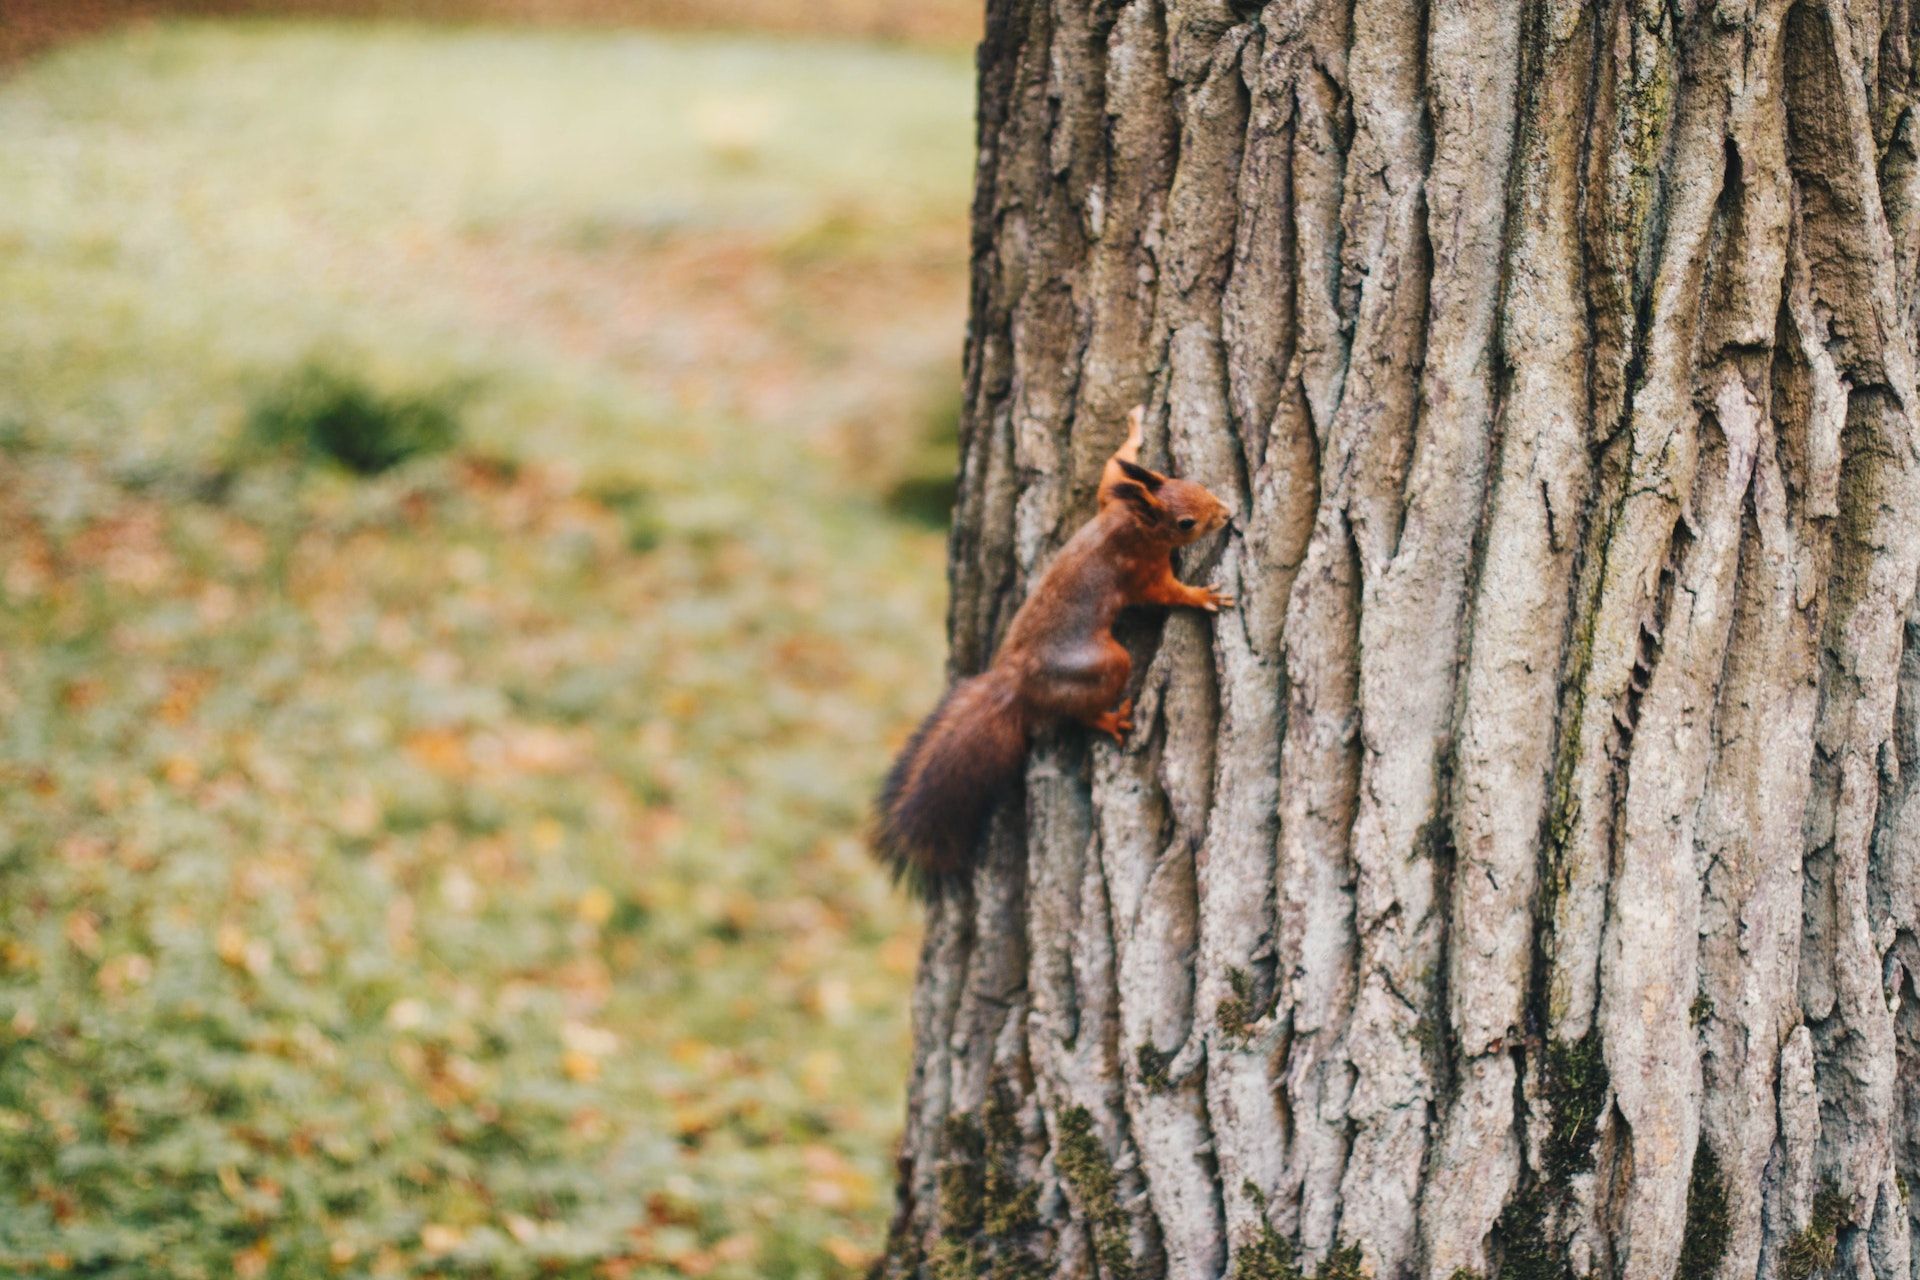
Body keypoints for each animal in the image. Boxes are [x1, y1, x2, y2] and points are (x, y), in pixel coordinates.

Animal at [879, 408, 1236, 890]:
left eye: (1194, 482)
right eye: (1186, 523)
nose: (1228, 513)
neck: (1131, 523)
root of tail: (1015, 683)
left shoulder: (1108, 500)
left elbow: (1110, 468)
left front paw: (1134, 428)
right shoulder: (1141, 572)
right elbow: (1168, 593)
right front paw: (1201, 597)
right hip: (1103, 663)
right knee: (1083, 710)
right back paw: (1112, 720)